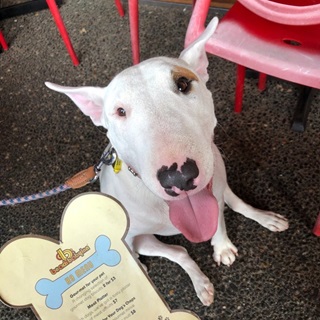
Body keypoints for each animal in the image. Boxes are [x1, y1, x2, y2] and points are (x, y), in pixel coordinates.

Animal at [45, 16, 288, 304]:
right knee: (179, 252)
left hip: (218, 174)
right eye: (120, 111)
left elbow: (219, 219)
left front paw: (222, 247)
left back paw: (265, 218)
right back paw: (197, 282)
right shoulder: (129, 237)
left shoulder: (213, 193)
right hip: (142, 238)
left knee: (232, 201)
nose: (178, 177)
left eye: (183, 84)